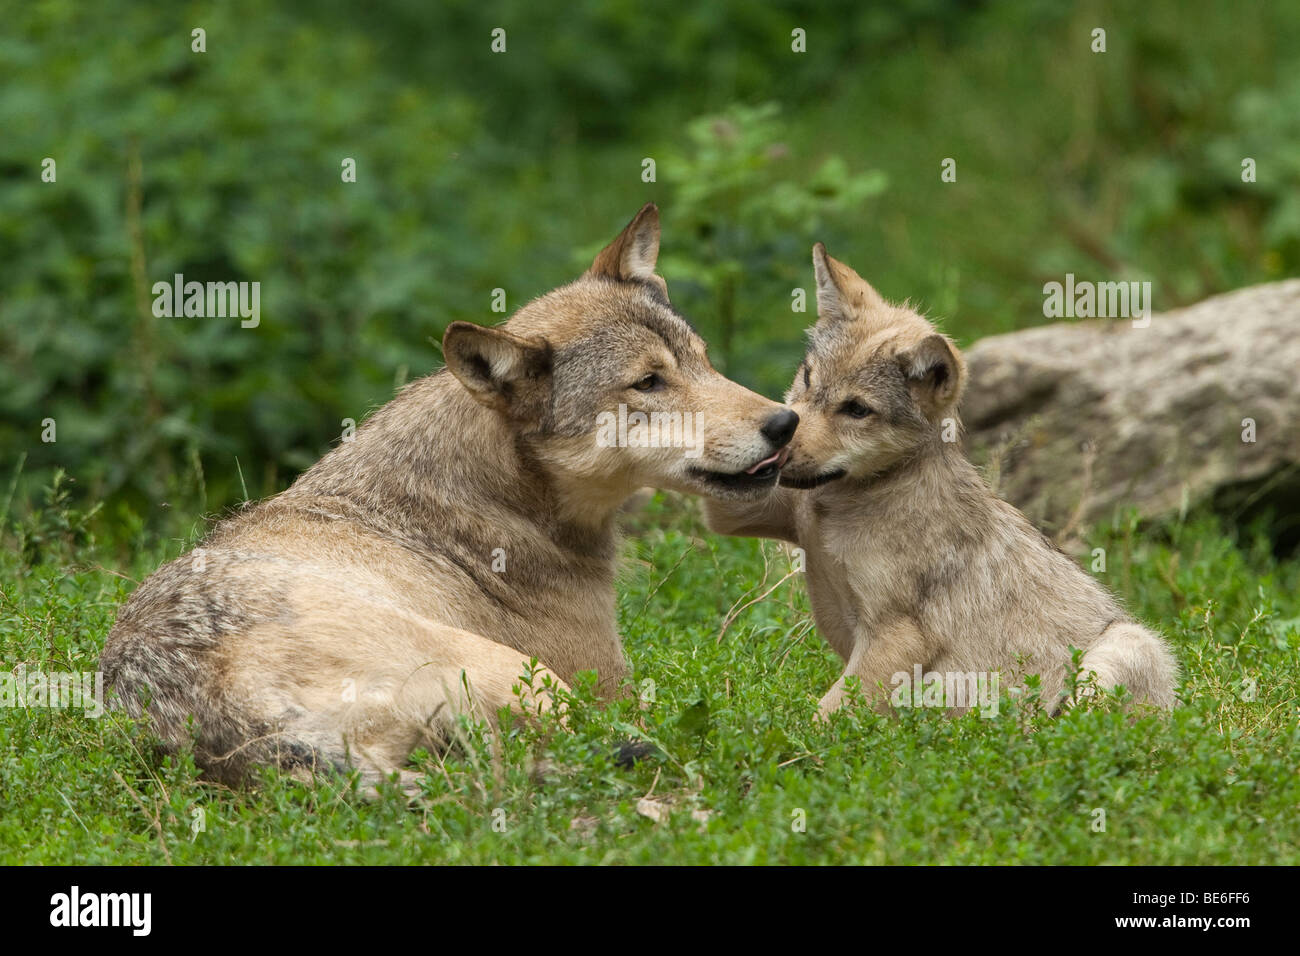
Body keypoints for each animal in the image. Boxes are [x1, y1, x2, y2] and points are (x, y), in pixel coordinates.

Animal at [101, 205, 795, 790]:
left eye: (703, 361)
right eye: (648, 383)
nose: (785, 423)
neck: (503, 496)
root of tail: (240, 730)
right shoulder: (605, 684)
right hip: (523, 678)